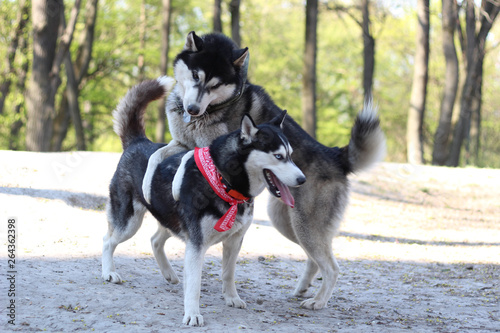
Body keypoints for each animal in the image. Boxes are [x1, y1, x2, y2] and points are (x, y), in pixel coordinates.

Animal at [102, 77, 304, 324]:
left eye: (291, 155)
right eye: (278, 156)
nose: (302, 179)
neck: (223, 182)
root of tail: (139, 141)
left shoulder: (234, 241)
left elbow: (228, 273)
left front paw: (231, 297)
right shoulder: (196, 245)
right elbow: (194, 285)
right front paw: (192, 313)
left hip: (172, 222)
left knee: (155, 240)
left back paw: (168, 273)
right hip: (129, 223)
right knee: (108, 241)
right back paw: (109, 272)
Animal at [143, 32, 384, 310]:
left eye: (215, 85)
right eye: (195, 75)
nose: (192, 109)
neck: (213, 110)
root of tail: (336, 155)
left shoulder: (206, 148)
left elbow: (186, 159)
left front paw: (175, 183)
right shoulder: (181, 143)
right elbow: (156, 155)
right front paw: (148, 185)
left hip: (305, 226)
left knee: (332, 268)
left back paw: (318, 301)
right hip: (287, 222)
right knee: (315, 260)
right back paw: (302, 289)